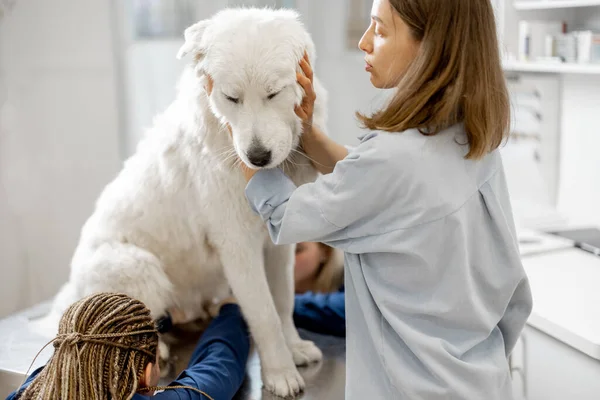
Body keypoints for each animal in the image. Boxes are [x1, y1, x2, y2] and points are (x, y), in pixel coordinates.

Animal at [42, 7, 330, 396]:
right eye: (232, 98)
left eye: (273, 94)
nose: (256, 158)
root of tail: (72, 290)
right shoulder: (238, 246)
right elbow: (265, 315)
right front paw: (280, 372)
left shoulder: (278, 245)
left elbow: (283, 302)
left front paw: (294, 347)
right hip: (139, 265)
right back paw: (155, 348)